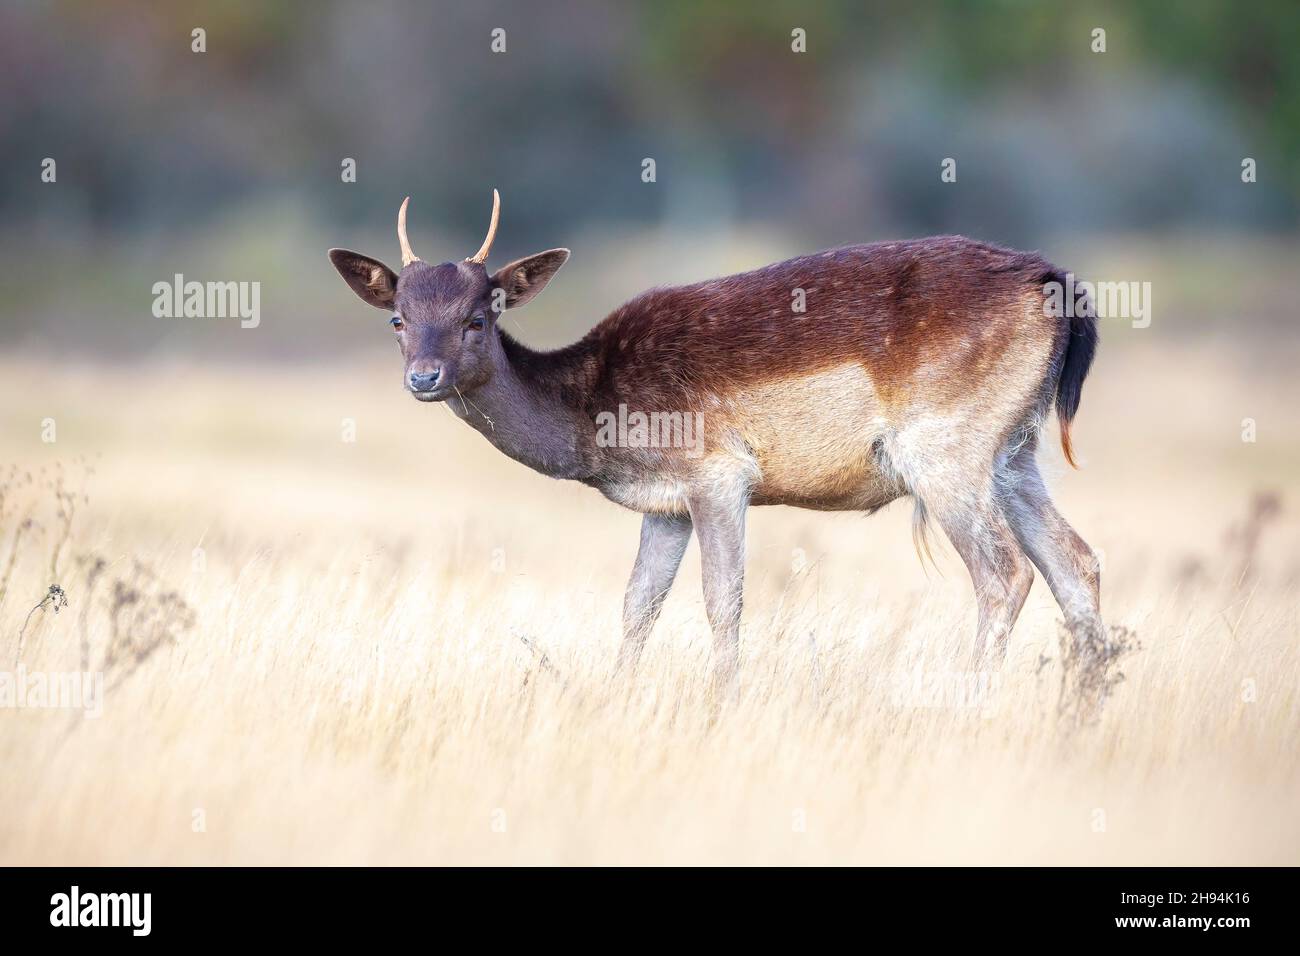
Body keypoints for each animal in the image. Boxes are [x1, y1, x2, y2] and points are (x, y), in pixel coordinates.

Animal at [329, 191, 1102, 692]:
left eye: (477, 318)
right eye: (398, 319)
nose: (424, 378)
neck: (594, 414)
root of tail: (1057, 282)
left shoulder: (718, 475)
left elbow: (722, 599)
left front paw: (720, 699)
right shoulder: (663, 504)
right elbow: (637, 605)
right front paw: (619, 694)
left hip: (944, 449)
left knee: (1005, 572)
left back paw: (974, 697)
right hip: (1016, 453)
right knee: (1077, 562)